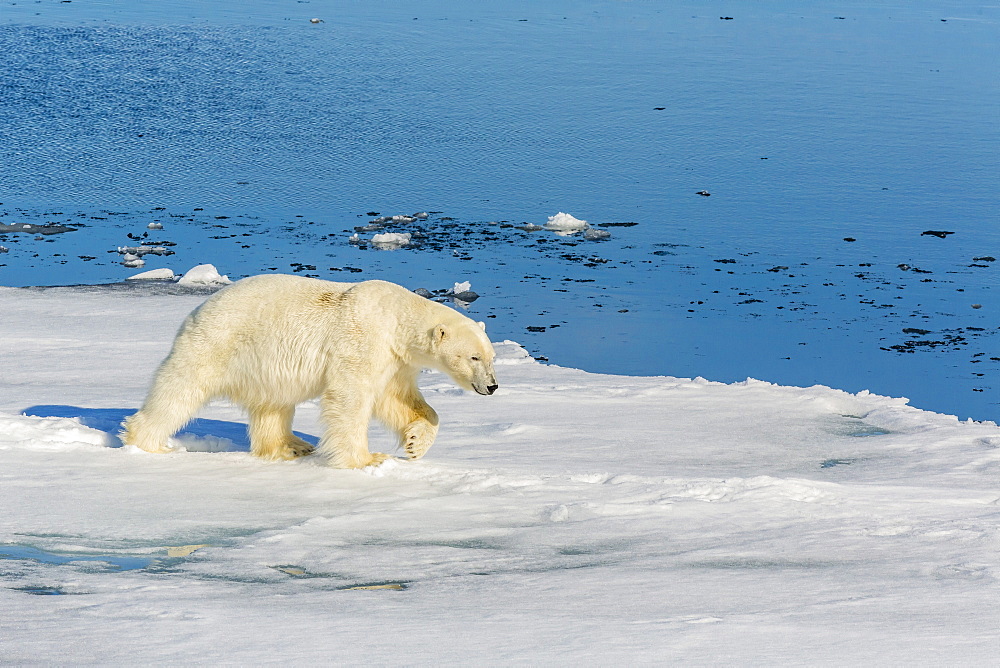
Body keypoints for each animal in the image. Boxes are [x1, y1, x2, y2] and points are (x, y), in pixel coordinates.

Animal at [123, 274, 498, 468]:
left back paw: (290, 447)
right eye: (474, 358)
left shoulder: (396, 361)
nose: (492, 386)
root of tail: (198, 309)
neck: (394, 319)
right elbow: (350, 398)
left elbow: (398, 400)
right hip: (216, 343)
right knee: (180, 388)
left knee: (273, 404)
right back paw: (150, 444)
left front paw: (415, 443)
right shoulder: (362, 341)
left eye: (491, 357)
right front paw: (367, 459)